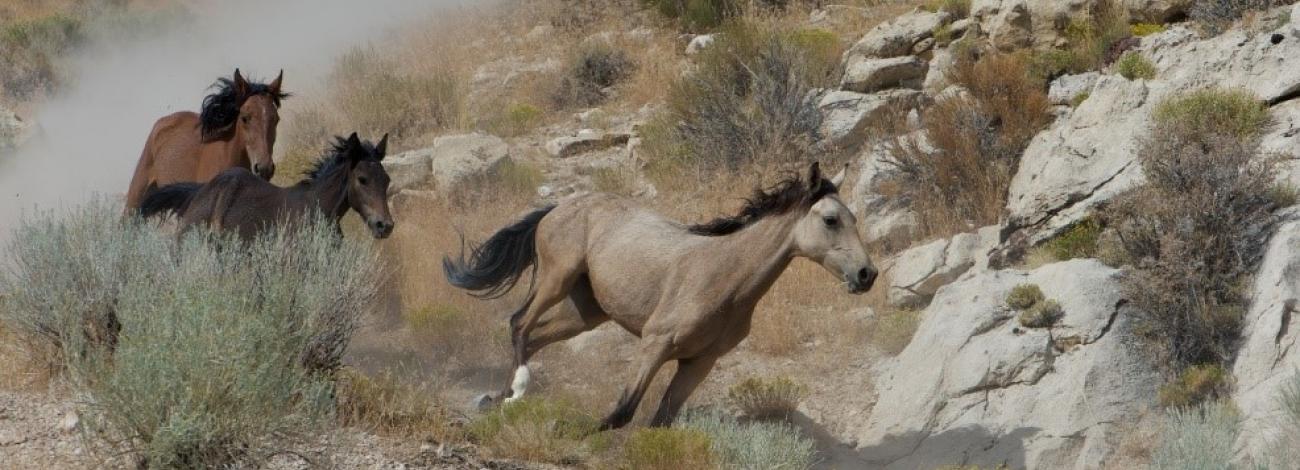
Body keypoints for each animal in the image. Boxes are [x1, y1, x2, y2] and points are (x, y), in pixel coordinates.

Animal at [441, 162, 878, 428]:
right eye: (831, 219)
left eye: (854, 218)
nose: (867, 274)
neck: (725, 279)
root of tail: (560, 206)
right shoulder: (655, 343)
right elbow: (621, 412)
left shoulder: (699, 363)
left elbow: (659, 422)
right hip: (556, 279)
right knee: (519, 323)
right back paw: (514, 393)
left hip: (586, 312)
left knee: (534, 336)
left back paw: (496, 399)